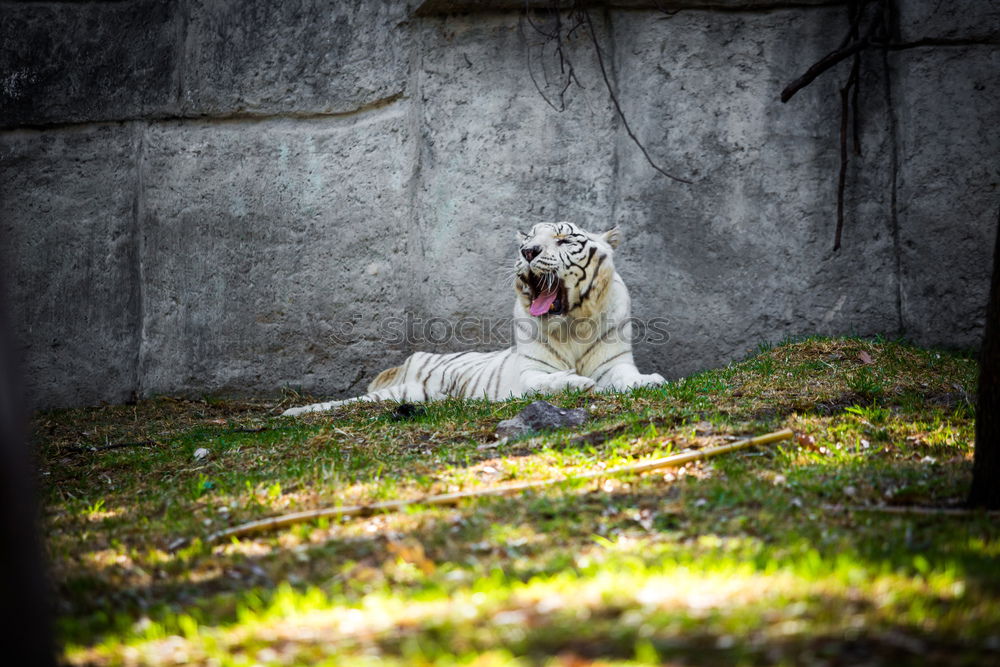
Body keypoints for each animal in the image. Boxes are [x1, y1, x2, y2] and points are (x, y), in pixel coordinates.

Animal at [284, 222, 664, 414]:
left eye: (563, 238)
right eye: (529, 238)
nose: (528, 251)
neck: (571, 324)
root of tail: (407, 360)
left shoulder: (614, 363)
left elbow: (628, 377)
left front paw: (651, 380)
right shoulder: (529, 373)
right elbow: (543, 383)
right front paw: (576, 383)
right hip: (404, 391)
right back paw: (294, 412)